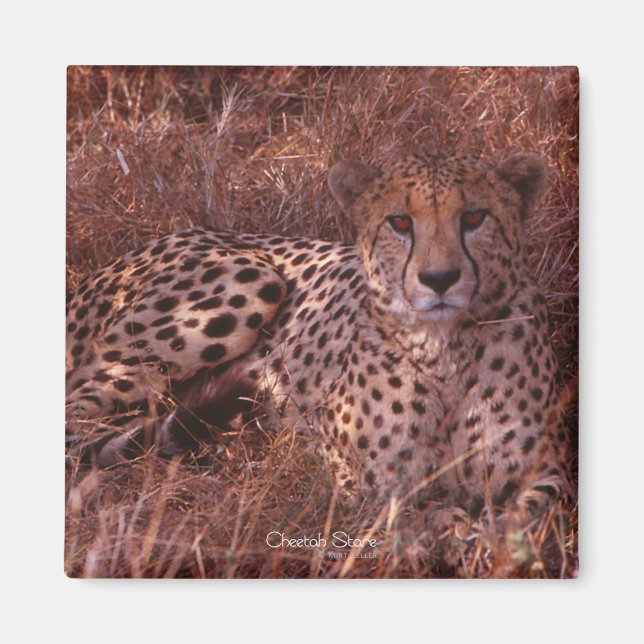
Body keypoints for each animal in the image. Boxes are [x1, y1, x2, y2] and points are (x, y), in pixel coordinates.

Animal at [66, 150, 568, 515]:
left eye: (475, 218)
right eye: (400, 222)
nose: (439, 279)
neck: (444, 348)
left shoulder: (548, 472)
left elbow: (530, 514)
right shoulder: (358, 477)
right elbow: (417, 514)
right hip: (251, 281)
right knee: (77, 418)